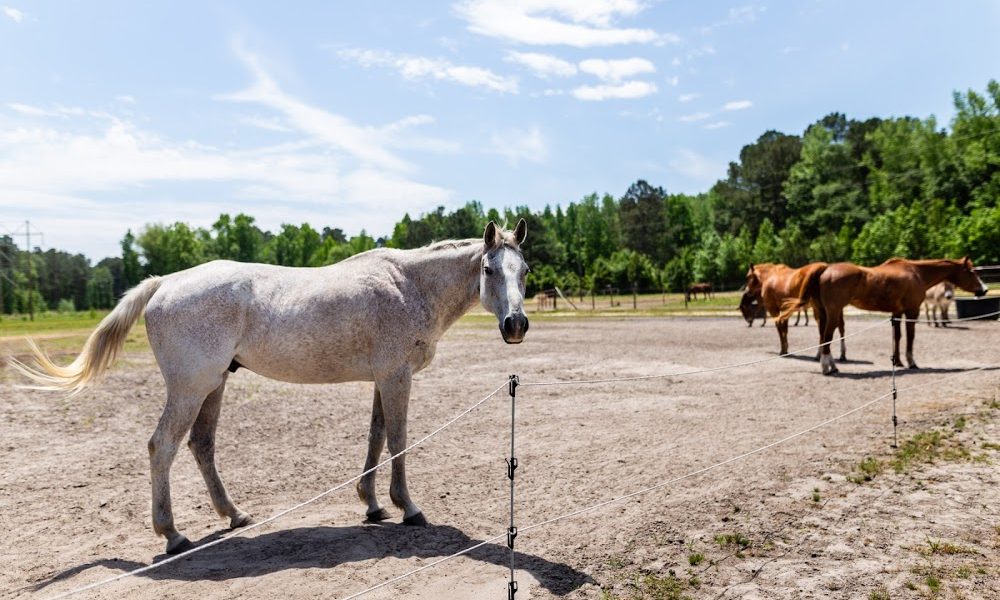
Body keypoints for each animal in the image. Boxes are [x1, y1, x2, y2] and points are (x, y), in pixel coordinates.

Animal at [11, 219, 536, 552]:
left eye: (525, 271)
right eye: (488, 269)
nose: (515, 325)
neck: (409, 285)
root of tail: (165, 283)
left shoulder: (383, 378)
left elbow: (375, 438)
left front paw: (371, 505)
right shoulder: (395, 377)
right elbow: (398, 441)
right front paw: (407, 507)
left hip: (213, 386)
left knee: (202, 445)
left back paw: (234, 515)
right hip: (190, 388)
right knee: (162, 446)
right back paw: (173, 535)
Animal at [780, 256, 984, 376]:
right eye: (971, 271)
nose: (983, 290)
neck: (916, 272)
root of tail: (825, 268)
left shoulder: (897, 312)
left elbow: (898, 336)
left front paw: (898, 361)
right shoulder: (912, 311)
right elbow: (910, 337)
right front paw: (911, 362)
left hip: (823, 313)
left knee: (823, 337)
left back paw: (833, 366)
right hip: (833, 312)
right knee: (827, 337)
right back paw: (826, 368)